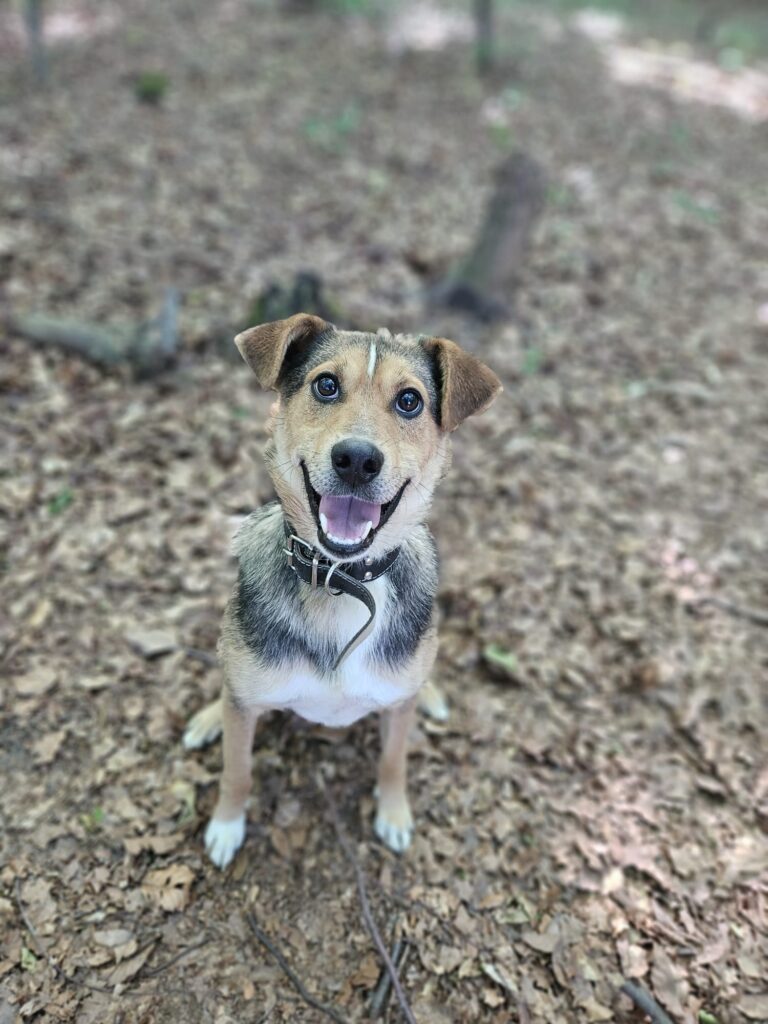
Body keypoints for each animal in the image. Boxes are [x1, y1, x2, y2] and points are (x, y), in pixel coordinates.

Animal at [183, 314, 501, 868]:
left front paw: (393, 813)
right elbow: (237, 771)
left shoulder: (396, 708)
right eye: (326, 385)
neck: (342, 582)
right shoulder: (245, 707)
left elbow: (394, 761)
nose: (356, 459)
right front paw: (226, 824)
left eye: (410, 400)